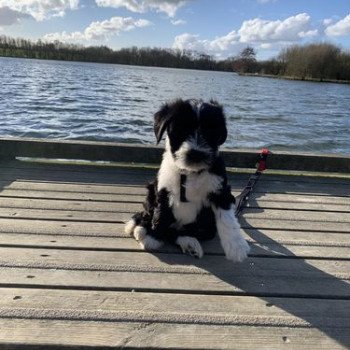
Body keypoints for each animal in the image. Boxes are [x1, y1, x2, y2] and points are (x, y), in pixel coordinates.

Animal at [124, 98, 250, 262]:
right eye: (181, 130)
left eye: (210, 132)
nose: (196, 153)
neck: (190, 172)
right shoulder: (164, 188)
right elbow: (160, 213)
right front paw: (153, 238)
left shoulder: (220, 190)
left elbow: (227, 218)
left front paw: (236, 247)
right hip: (151, 192)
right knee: (148, 214)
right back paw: (140, 227)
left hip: (206, 225)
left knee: (177, 232)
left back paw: (190, 243)